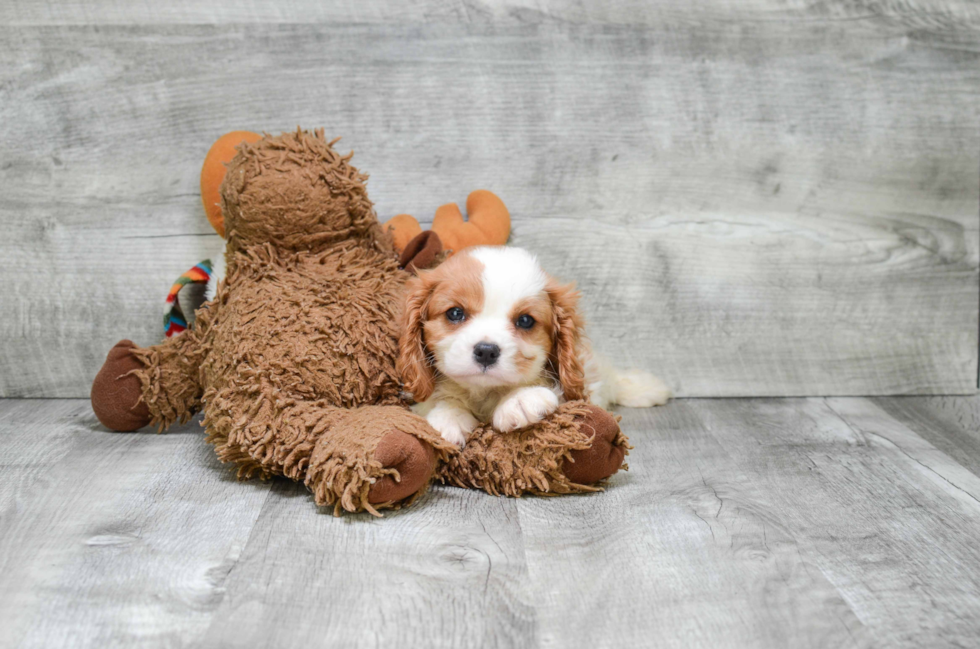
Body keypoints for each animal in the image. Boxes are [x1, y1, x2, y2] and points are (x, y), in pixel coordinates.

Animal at [394, 243, 668, 446]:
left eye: (525, 320)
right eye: (455, 313)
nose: (486, 351)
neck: (485, 392)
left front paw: (520, 399)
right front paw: (449, 415)